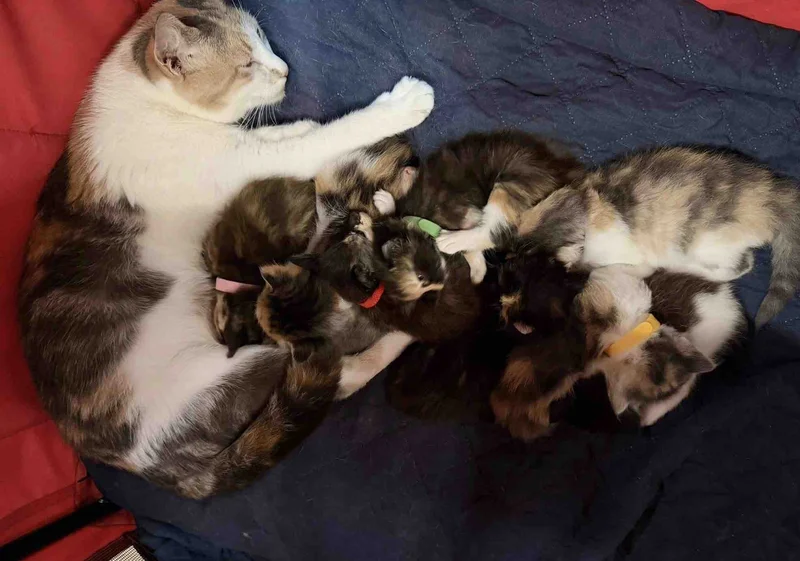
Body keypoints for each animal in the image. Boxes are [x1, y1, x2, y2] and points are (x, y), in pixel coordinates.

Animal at [18, 0, 432, 498]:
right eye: (246, 64)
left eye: (262, 39)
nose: (284, 69)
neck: (148, 101)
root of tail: (172, 476)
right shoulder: (244, 163)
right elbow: (321, 139)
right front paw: (402, 105)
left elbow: (288, 134)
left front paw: (294, 125)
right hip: (248, 369)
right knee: (344, 374)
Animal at [372, 131, 584, 283]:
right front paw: (478, 270)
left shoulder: (459, 207)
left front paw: (385, 200)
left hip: (514, 181)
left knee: (496, 231)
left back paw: (450, 240)